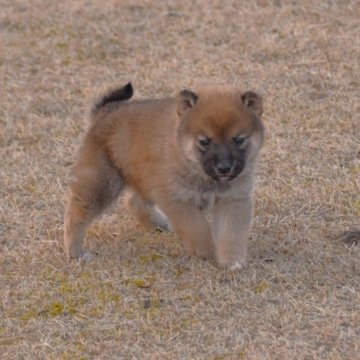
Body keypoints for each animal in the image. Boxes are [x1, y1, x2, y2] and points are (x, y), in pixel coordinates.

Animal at [63, 81, 262, 268]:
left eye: (239, 140)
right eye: (205, 141)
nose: (224, 168)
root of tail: (105, 111)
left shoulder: (233, 200)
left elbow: (232, 233)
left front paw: (232, 261)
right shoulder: (177, 200)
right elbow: (198, 228)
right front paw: (206, 250)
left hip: (142, 177)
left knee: (134, 202)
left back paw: (159, 224)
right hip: (101, 184)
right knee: (76, 213)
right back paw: (75, 251)